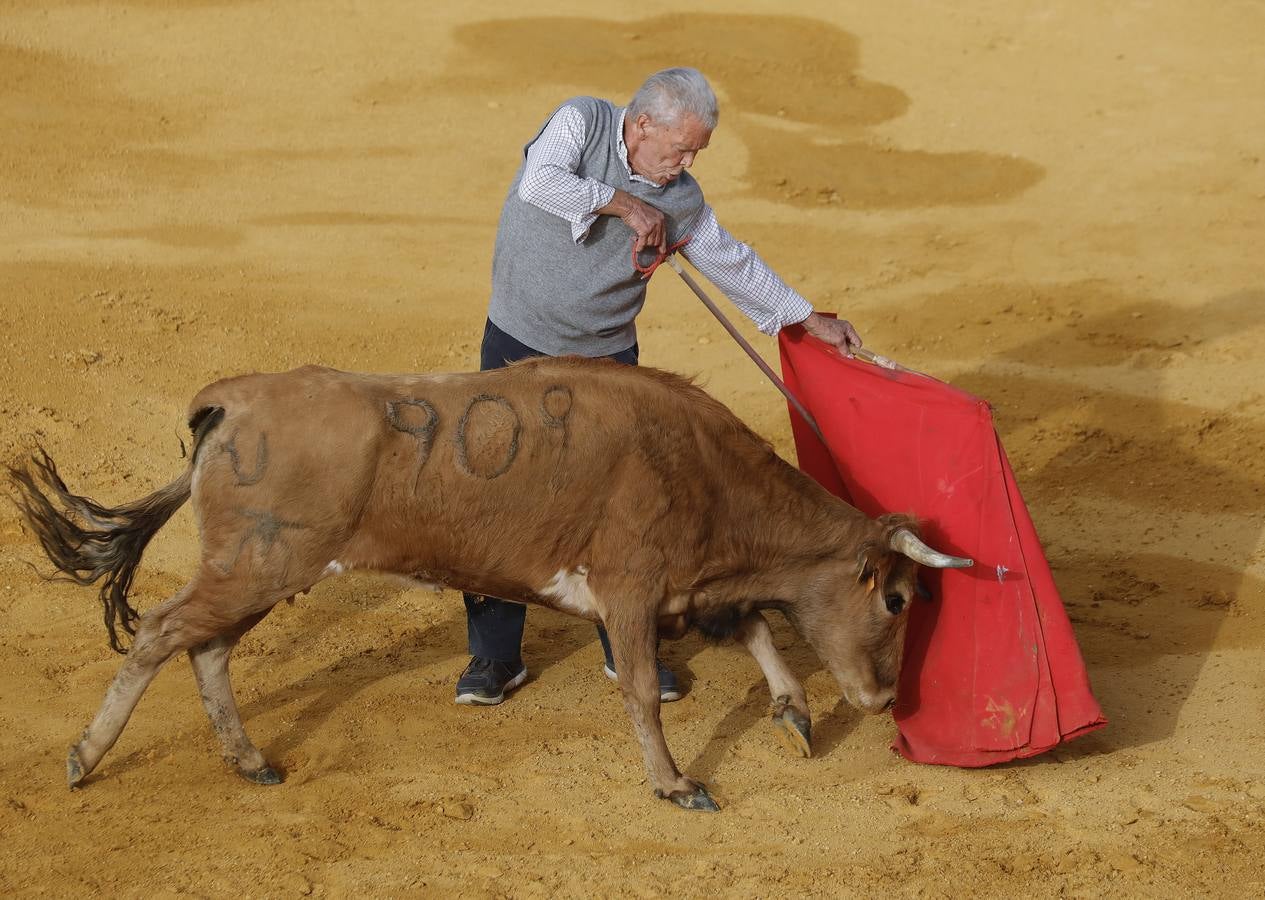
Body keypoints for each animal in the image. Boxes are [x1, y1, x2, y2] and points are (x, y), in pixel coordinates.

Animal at [9, 354, 966, 815]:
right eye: (896, 601)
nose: (883, 700)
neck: (703, 467)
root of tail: (231, 403)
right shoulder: (631, 585)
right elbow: (643, 691)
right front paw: (676, 785)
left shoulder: (689, 586)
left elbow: (759, 624)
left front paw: (794, 715)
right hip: (255, 567)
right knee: (162, 632)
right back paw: (84, 758)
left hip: (261, 573)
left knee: (204, 647)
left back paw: (249, 762)